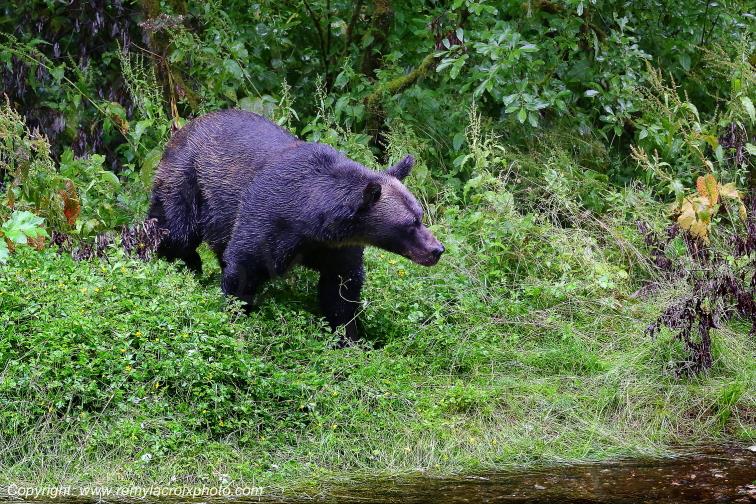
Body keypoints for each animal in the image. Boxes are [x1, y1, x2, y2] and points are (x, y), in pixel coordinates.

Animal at [148, 109, 444, 342]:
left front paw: (350, 337)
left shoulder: (337, 246)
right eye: (410, 223)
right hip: (188, 179)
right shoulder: (267, 219)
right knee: (176, 230)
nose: (437, 250)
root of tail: (185, 126)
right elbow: (244, 266)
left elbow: (341, 290)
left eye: (420, 215)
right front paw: (237, 313)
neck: (312, 221)